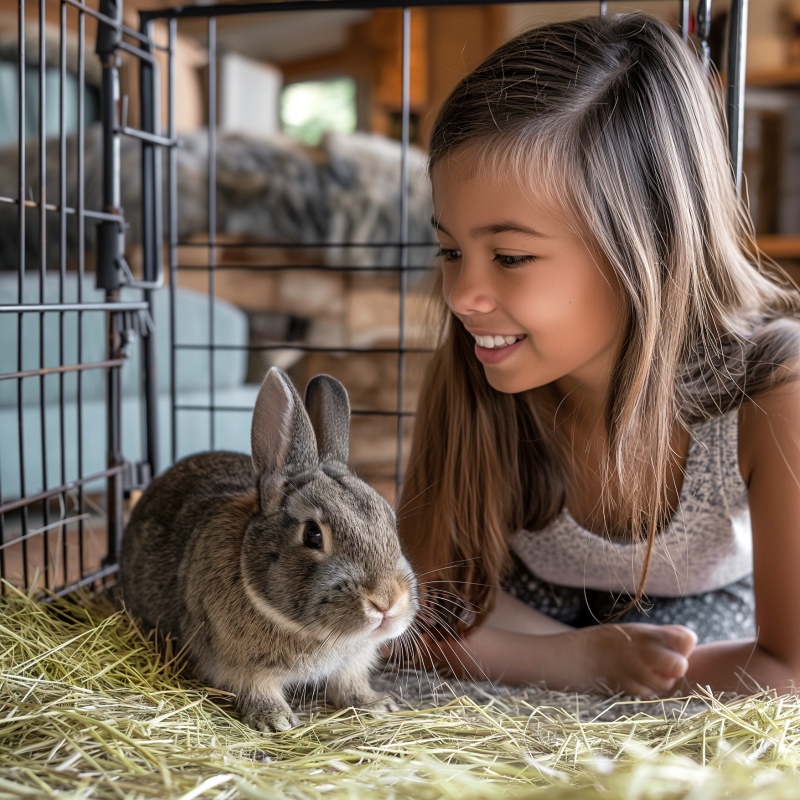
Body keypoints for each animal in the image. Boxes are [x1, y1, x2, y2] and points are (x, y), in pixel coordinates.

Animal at [121, 368, 418, 732]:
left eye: (389, 520)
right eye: (313, 535)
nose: (386, 602)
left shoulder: (354, 660)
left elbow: (349, 682)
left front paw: (375, 705)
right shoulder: (241, 665)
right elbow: (255, 687)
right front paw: (275, 720)